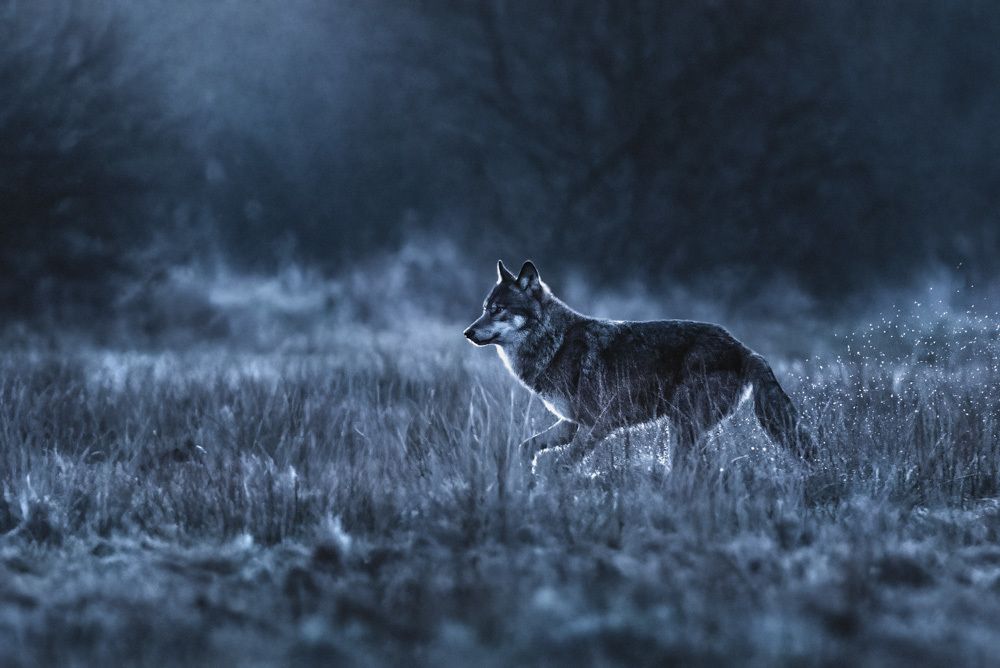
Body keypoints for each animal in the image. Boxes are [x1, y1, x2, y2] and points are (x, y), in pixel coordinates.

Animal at [463, 260, 814, 470]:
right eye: (484, 308)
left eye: (497, 310)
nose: (467, 332)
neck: (556, 342)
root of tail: (745, 349)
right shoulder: (570, 424)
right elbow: (527, 446)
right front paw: (527, 472)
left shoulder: (597, 425)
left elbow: (563, 464)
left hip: (682, 426)